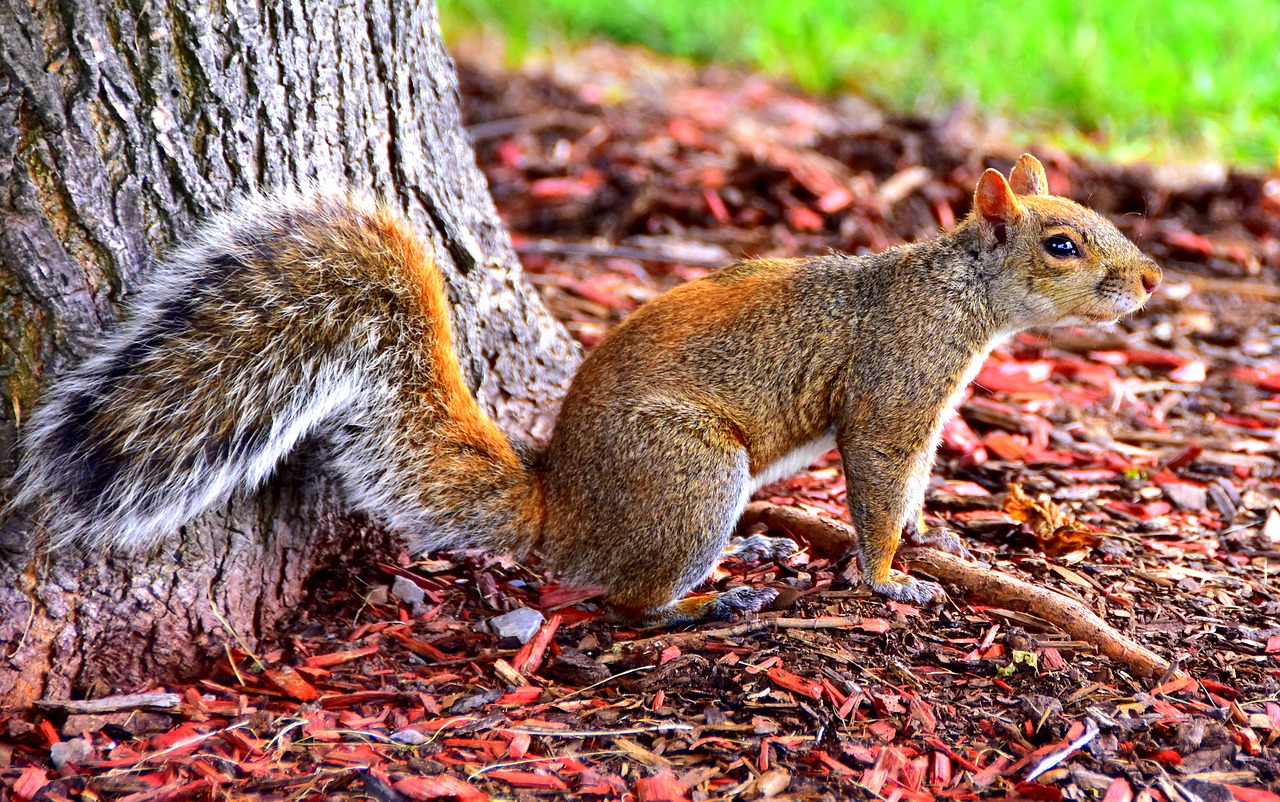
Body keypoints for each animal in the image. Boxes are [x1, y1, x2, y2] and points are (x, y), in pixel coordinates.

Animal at [15, 153, 1162, 624]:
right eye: (1063, 244)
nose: (1149, 279)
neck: (956, 297)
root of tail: (558, 509)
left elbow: (913, 486)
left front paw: (930, 534)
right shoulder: (893, 387)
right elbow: (879, 477)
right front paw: (887, 578)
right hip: (691, 473)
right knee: (625, 602)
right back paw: (709, 602)